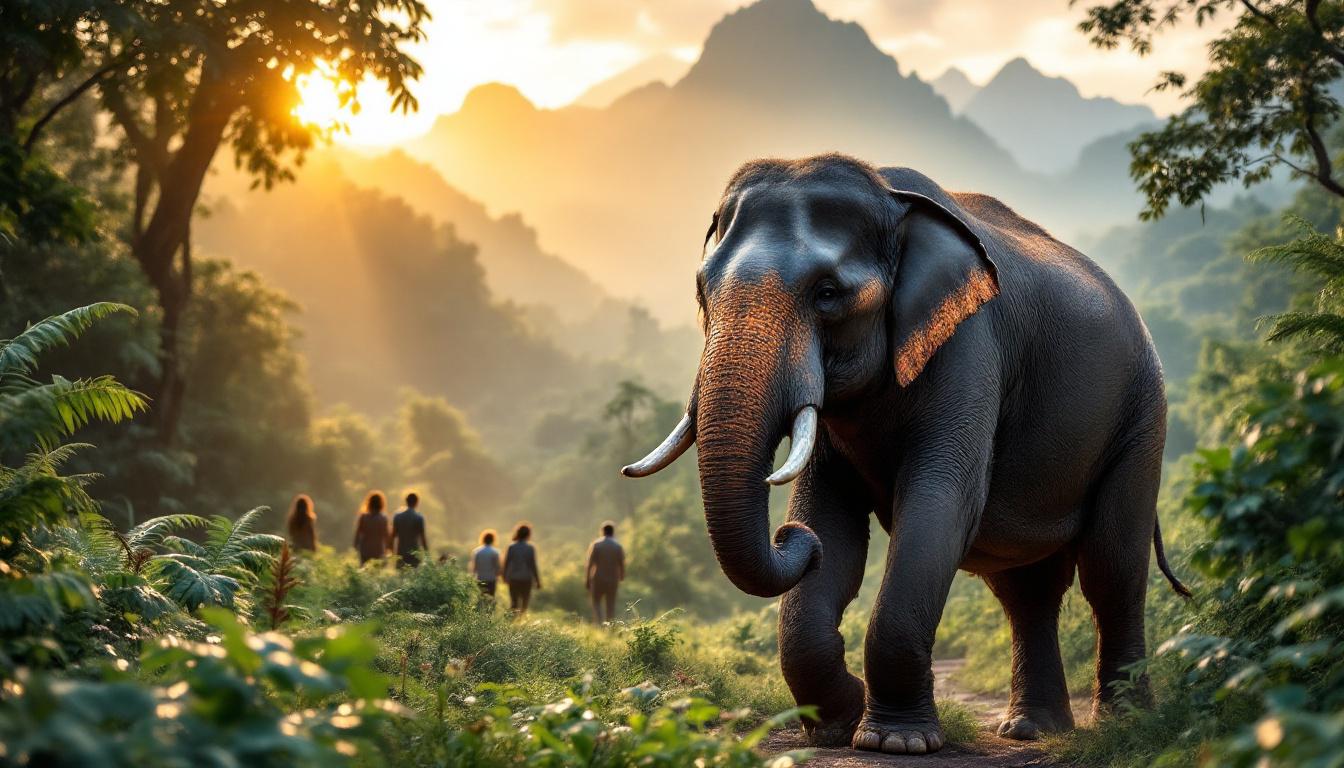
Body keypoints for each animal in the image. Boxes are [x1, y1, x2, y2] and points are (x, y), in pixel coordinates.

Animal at [621, 154, 1189, 755]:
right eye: (701, 290)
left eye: (828, 293)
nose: (790, 537)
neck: (890, 198)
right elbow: (831, 519)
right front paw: (837, 724)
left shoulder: (969, 345)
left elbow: (940, 503)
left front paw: (894, 742)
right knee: (1027, 590)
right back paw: (1032, 729)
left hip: (1142, 416)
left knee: (1111, 569)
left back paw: (1123, 722)